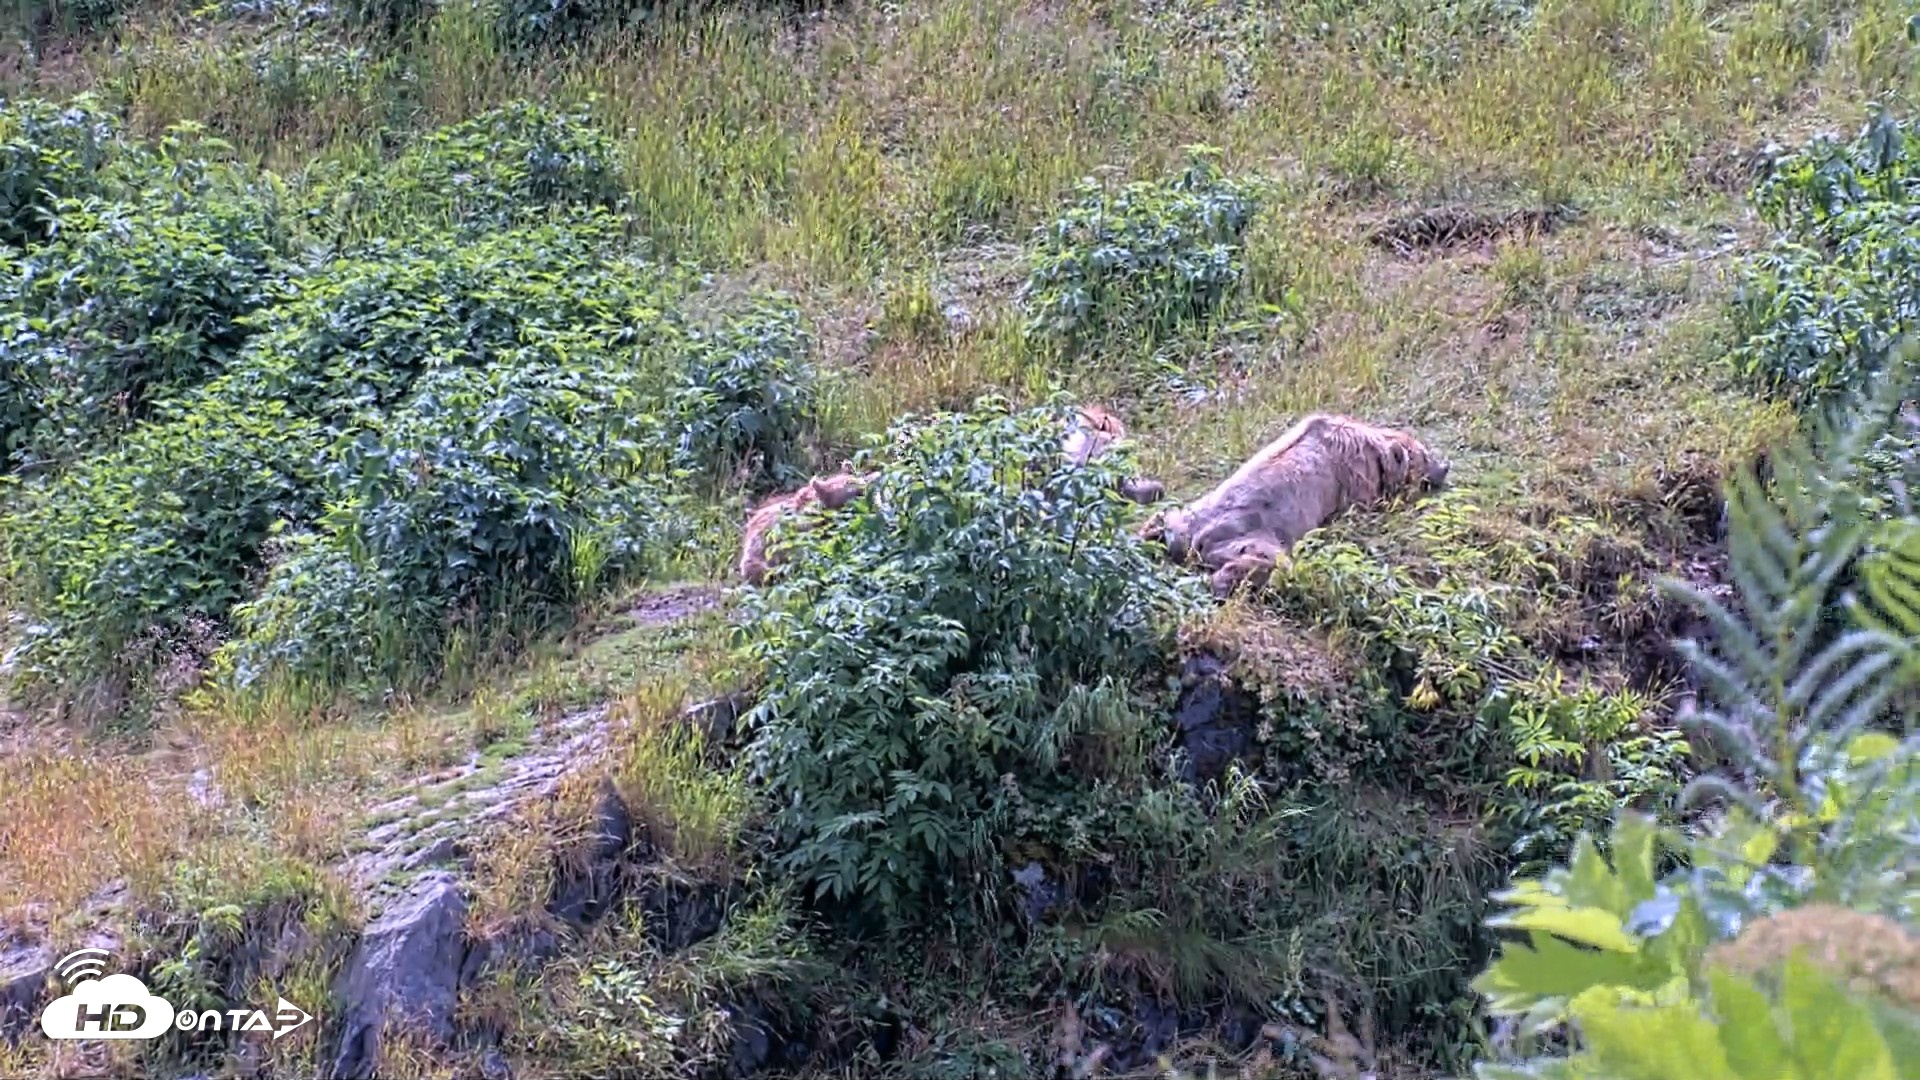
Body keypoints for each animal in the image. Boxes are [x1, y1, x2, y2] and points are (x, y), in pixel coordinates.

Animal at [1140, 413, 1450, 597]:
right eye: (1425, 455)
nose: (1445, 466)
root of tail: (1191, 540)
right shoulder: (1355, 477)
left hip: (1188, 515)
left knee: (1164, 517)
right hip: (1250, 532)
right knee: (1268, 558)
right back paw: (1227, 581)